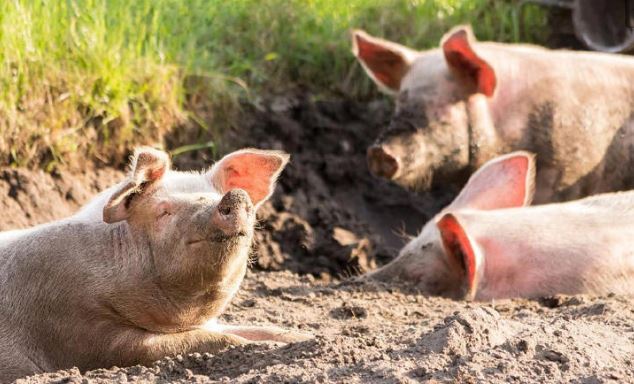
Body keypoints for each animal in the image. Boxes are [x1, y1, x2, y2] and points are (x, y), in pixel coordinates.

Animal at [0, 146, 308, 380]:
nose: (235, 195)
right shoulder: (80, 330)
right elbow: (212, 340)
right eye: (164, 212)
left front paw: (303, 337)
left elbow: (258, 329)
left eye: (212, 196)